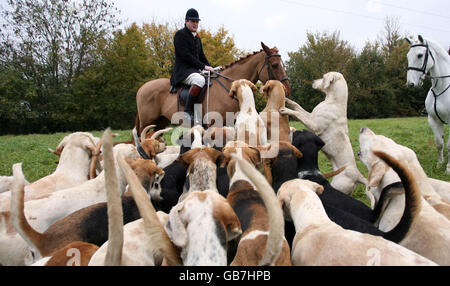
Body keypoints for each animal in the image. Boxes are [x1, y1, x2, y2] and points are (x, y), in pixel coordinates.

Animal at [134, 42, 290, 133]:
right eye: (275, 65)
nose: (287, 89)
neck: (228, 86)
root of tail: (142, 88)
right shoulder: (214, 124)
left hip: (160, 122)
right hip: (146, 123)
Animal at [406, 35, 450, 174]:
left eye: (420, 55)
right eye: (408, 56)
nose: (410, 83)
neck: (441, 88)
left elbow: (449, 145)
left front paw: (448, 168)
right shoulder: (433, 119)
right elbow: (439, 143)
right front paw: (440, 164)